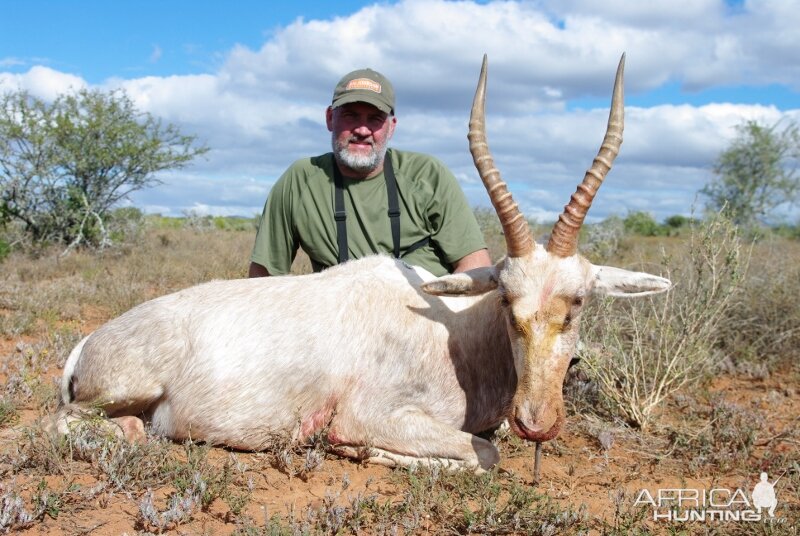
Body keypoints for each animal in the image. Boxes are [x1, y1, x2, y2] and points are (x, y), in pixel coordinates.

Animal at [53, 54, 672, 468]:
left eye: (578, 301)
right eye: (505, 298)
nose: (536, 424)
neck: (454, 336)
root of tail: (89, 343)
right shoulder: (375, 414)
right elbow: (483, 454)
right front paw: (354, 449)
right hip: (114, 396)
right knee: (67, 425)